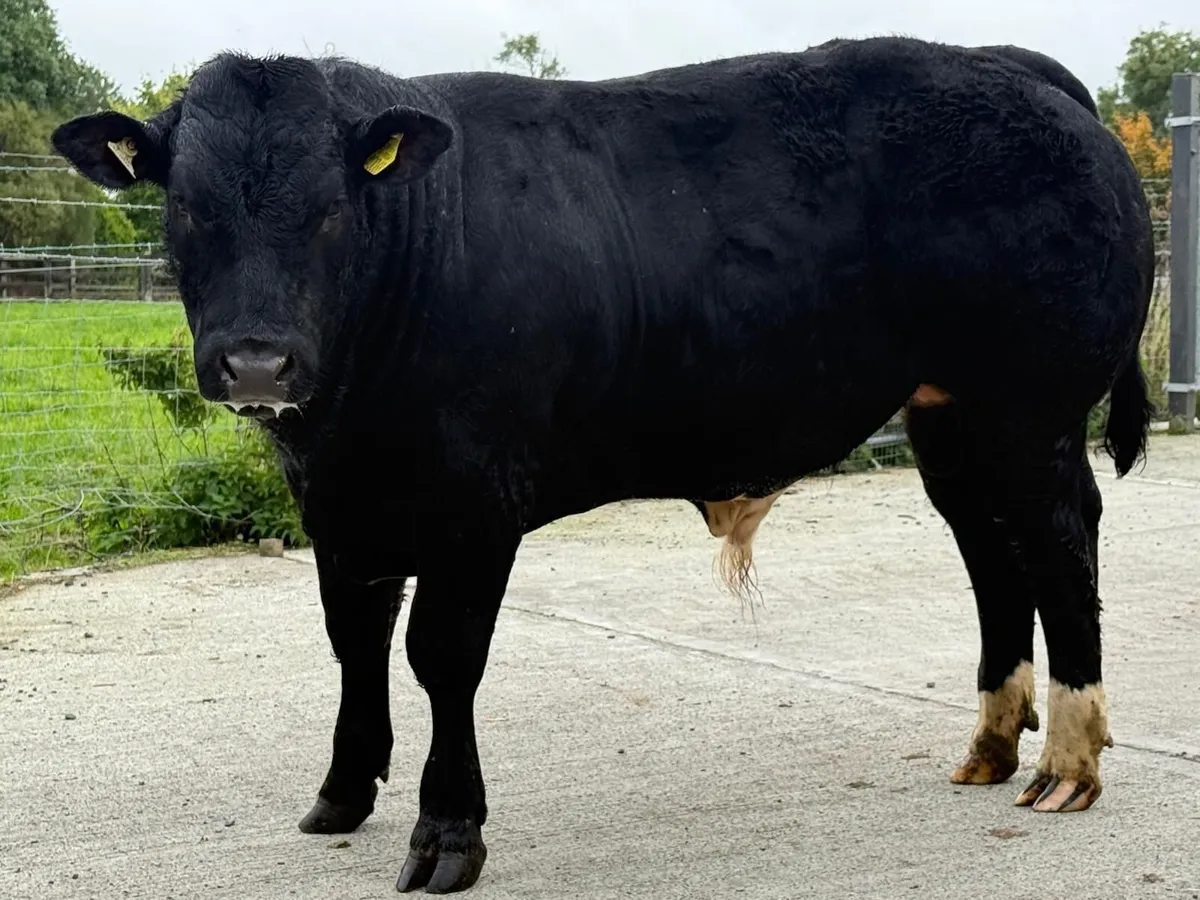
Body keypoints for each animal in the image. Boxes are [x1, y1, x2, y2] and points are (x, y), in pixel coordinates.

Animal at [52, 35, 1153, 894]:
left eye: (329, 207)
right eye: (185, 207)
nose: (257, 361)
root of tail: (1006, 66)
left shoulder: (476, 504)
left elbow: (441, 656)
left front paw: (448, 832)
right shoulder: (338, 497)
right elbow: (352, 641)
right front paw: (341, 792)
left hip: (1032, 409)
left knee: (1061, 545)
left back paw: (1068, 758)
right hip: (951, 415)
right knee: (991, 551)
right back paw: (990, 747)